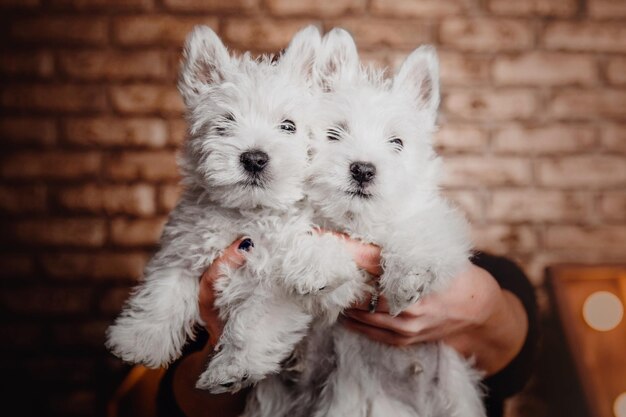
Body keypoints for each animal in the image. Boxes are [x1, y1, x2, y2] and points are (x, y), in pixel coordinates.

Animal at [106, 26, 360, 394]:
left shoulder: (276, 282)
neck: (248, 212)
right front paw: (140, 339)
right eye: (224, 124)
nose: (254, 158)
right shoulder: (184, 249)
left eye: (288, 125)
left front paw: (232, 368)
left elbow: (253, 324)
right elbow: (162, 293)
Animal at [246, 29, 486, 416]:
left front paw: (407, 277)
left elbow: (420, 233)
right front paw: (315, 265)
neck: (361, 221)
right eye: (334, 134)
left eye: (397, 142)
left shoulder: (434, 221)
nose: (362, 169)